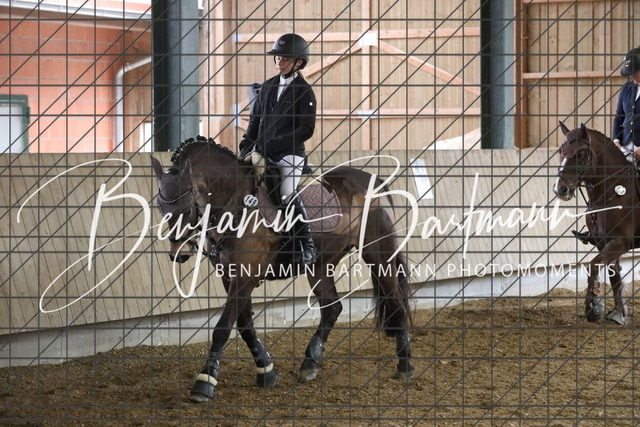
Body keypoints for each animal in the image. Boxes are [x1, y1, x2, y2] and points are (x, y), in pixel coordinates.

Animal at [151, 136, 414, 402]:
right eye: (161, 209)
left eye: (186, 207)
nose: (179, 253)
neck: (237, 203)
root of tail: (373, 180)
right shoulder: (230, 275)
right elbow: (244, 325)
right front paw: (265, 370)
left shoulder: (246, 275)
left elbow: (223, 327)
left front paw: (204, 382)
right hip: (320, 265)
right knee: (333, 307)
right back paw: (309, 363)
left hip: (378, 254)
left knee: (396, 301)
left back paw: (405, 364)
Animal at [553, 121, 640, 325]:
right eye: (561, 151)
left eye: (580, 153)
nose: (560, 189)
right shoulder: (603, 242)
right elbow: (613, 274)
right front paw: (619, 313)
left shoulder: (620, 242)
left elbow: (593, 265)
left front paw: (593, 308)